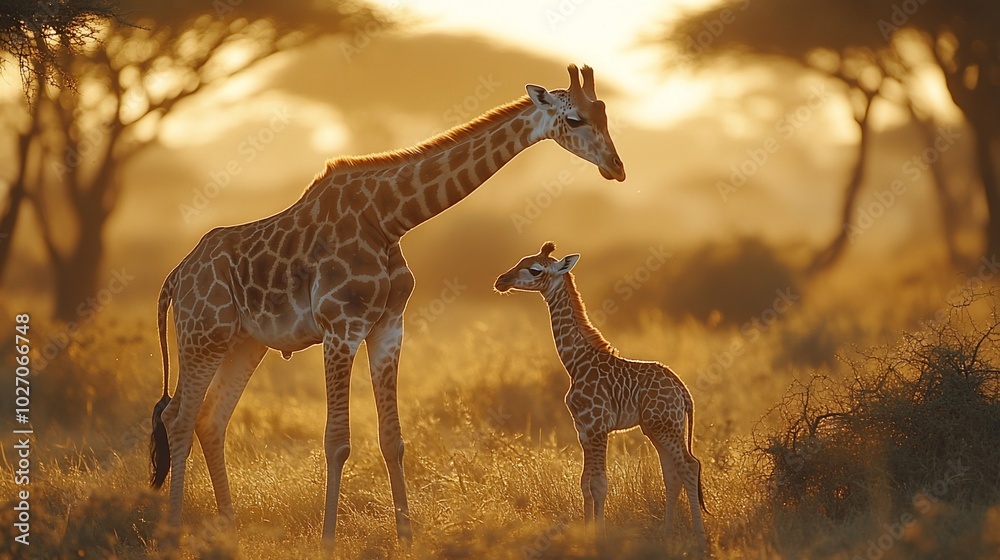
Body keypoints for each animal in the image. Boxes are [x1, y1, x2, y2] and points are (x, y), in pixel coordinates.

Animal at [148, 65, 625, 550]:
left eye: (605, 114)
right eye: (574, 120)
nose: (617, 168)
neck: (388, 218)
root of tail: (175, 277)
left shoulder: (388, 326)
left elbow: (392, 438)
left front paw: (407, 537)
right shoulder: (341, 327)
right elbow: (337, 439)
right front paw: (327, 542)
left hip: (245, 343)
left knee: (210, 419)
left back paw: (228, 531)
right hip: (203, 336)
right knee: (178, 417)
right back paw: (172, 533)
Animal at [493, 242, 709, 552]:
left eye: (534, 269)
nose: (501, 281)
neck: (575, 362)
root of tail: (683, 391)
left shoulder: (598, 426)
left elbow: (599, 483)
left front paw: (600, 539)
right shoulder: (582, 430)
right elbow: (585, 483)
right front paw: (586, 537)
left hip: (665, 427)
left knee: (690, 467)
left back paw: (701, 541)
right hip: (657, 428)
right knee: (672, 474)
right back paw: (668, 535)